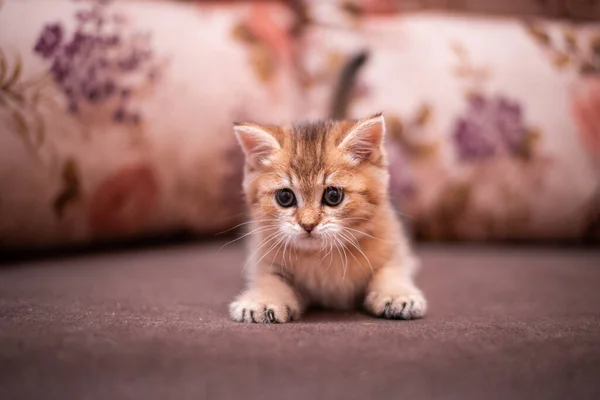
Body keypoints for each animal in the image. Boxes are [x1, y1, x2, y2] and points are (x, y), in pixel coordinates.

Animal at [229, 111, 426, 322]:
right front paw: (264, 300)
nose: (308, 224)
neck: (321, 255)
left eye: (333, 196)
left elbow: (390, 270)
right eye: (285, 197)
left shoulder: (392, 243)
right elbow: (270, 279)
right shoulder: (263, 257)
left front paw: (397, 294)